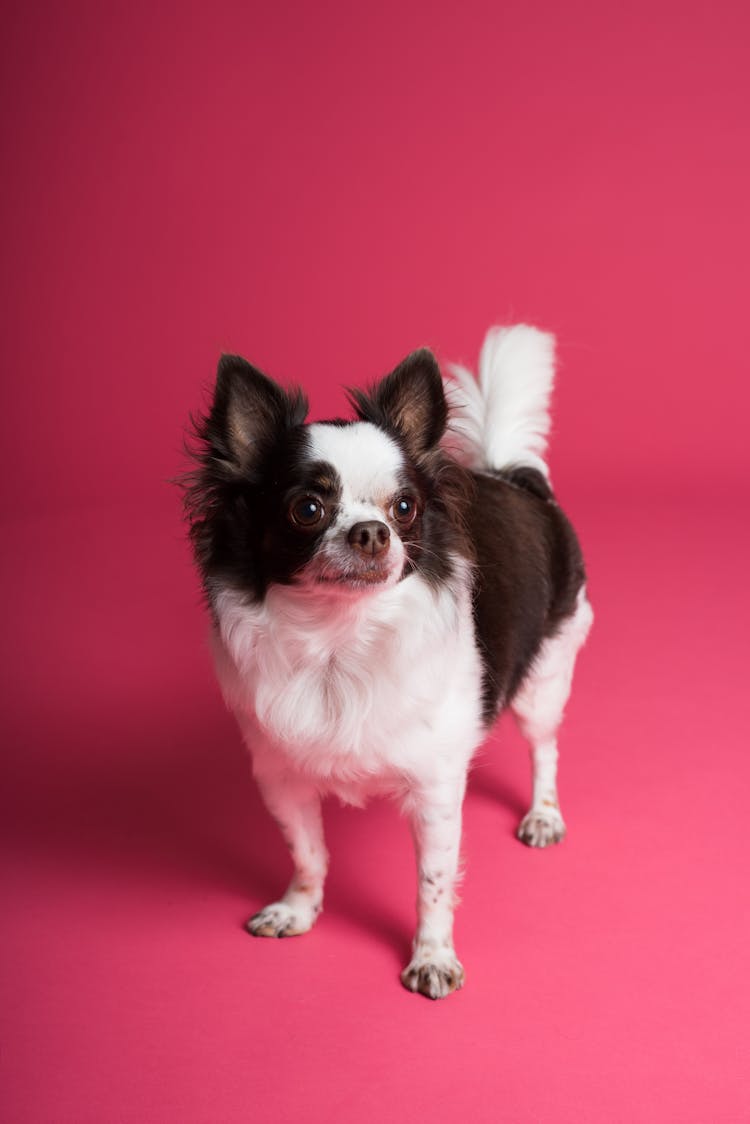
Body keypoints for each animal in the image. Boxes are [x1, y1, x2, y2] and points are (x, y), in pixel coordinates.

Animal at [182, 325, 593, 1002]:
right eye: (306, 509)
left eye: (404, 508)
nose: (373, 531)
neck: (339, 640)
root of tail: (510, 476)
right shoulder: (281, 777)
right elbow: (307, 851)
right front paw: (299, 908)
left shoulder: (434, 790)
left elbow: (432, 881)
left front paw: (433, 956)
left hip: (546, 678)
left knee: (546, 747)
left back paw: (542, 815)